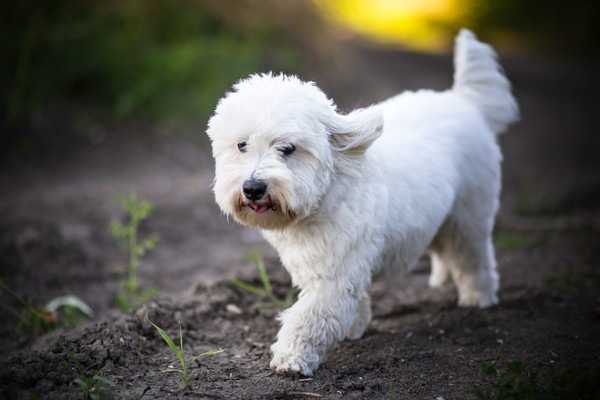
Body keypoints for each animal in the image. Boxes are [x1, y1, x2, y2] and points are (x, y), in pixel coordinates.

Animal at [206, 29, 516, 376]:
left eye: (288, 148)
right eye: (241, 145)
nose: (253, 188)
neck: (326, 195)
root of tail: (463, 101)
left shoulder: (334, 276)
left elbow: (309, 317)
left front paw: (292, 357)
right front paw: (355, 325)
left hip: (469, 215)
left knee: (472, 256)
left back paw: (478, 296)